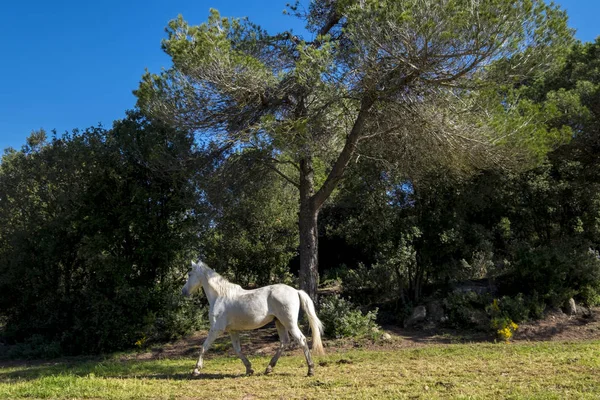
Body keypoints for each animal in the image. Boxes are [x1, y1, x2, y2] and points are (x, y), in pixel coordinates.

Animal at [182, 260, 326, 376]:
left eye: (189, 274)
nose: (183, 292)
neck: (220, 296)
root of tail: (296, 291)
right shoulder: (232, 331)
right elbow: (238, 350)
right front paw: (249, 369)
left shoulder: (216, 329)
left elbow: (204, 347)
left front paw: (196, 370)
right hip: (279, 323)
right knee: (284, 342)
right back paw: (269, 368)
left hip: (289, 323)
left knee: (301, 340)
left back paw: (310, 370)